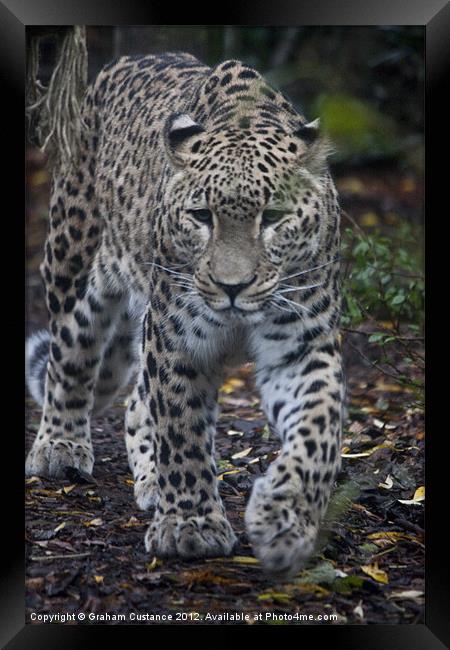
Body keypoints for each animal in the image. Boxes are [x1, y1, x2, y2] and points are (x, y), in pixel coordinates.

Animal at [25, 53, 344, 576]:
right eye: (201, 216)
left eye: (274, 217)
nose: (233, 287)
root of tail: (126, 60)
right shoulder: (176, 339)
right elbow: (182, 429)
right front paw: (190, 526)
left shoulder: (302, 345)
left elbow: (318, 429)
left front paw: (284, 519)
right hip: (72, 261)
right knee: (68, 358)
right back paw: (60, 447)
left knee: (136, 402)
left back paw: (151, 481)